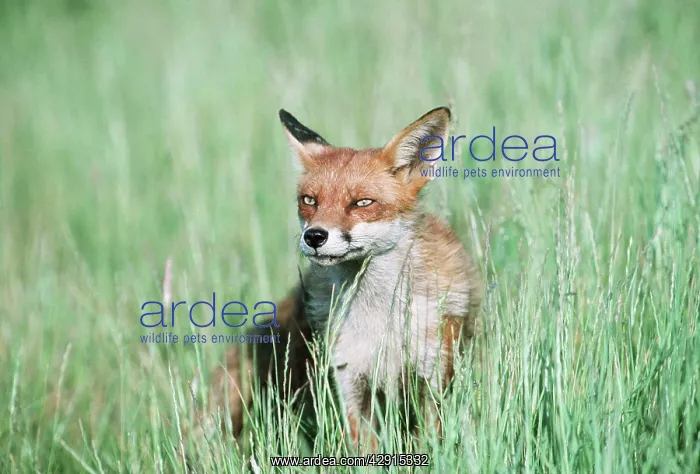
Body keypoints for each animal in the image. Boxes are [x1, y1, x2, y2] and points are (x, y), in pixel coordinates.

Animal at [192, 106, 482, 452]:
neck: (379, 322)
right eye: (309, 200)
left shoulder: (432, 380)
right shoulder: (351, 383)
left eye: (362, 203)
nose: (314, 236)